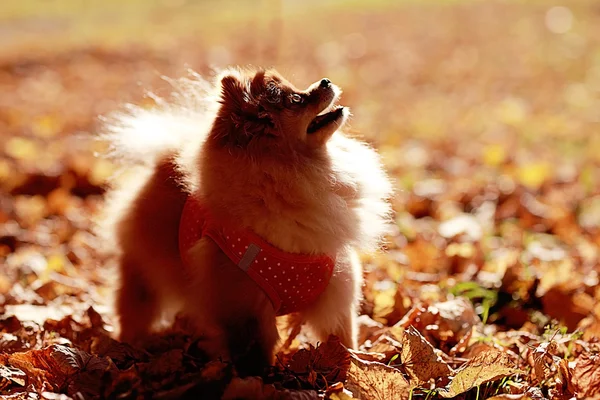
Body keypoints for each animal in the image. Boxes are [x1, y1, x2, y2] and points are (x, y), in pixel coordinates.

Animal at [99, 67, 394, 376]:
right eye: (297, 99)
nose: (325, 81)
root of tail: (163, 163)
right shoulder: (243, 305)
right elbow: (254, 351)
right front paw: (263, 378)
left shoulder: (335, 291)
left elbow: (342, 339)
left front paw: (352, 367)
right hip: (143, 271)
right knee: (135, 307)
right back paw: (131, 344)